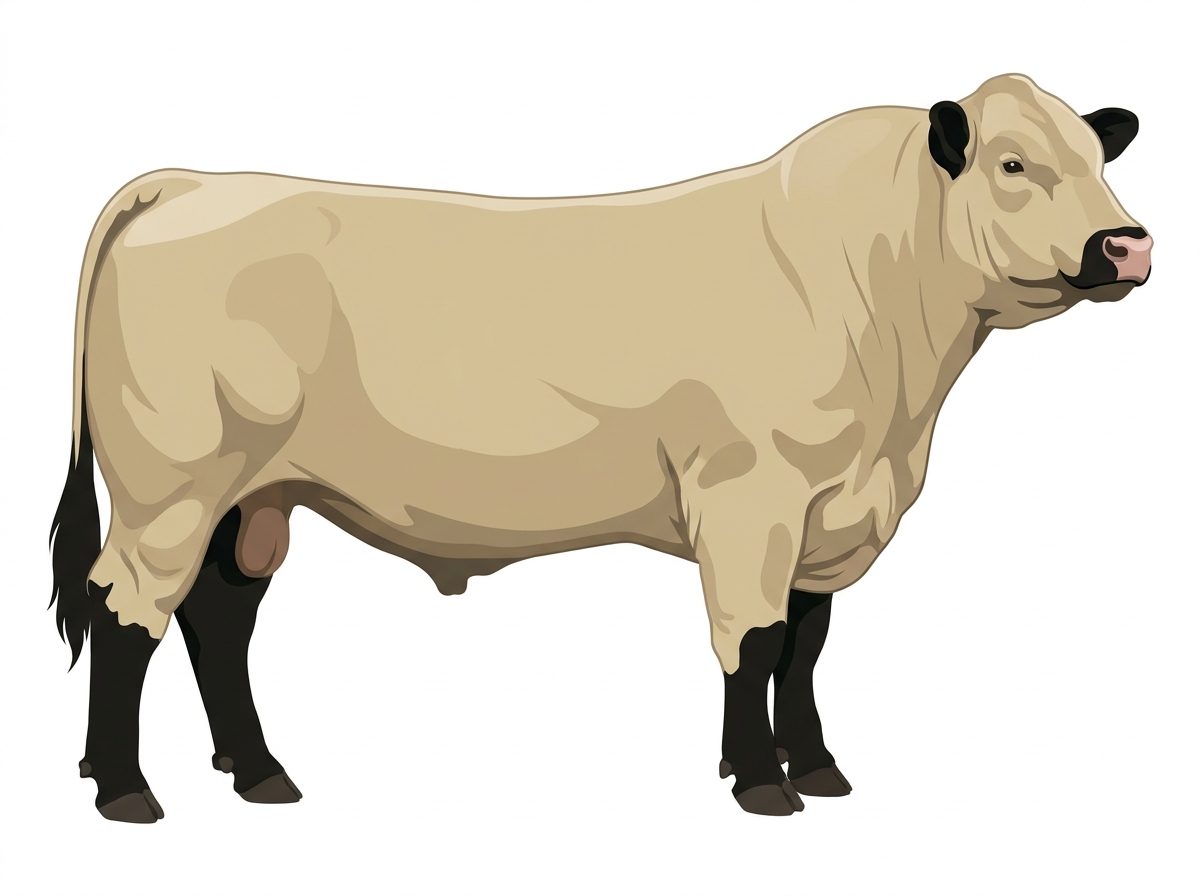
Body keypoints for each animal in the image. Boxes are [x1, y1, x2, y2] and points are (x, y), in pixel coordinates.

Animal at [49, 74, 1151, 822]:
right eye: (1013, 164)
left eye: (1102, 161)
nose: (1127, 242)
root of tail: (191, 182)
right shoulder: (750, 497)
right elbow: (754, 640)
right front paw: (761, 782)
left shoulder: (829, 513)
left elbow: (807, 642)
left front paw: (819, 767)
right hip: (170, 485)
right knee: (125, 609)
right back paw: (125, 789)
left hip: (254, 494)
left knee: (217, 616)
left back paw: (260, 771)